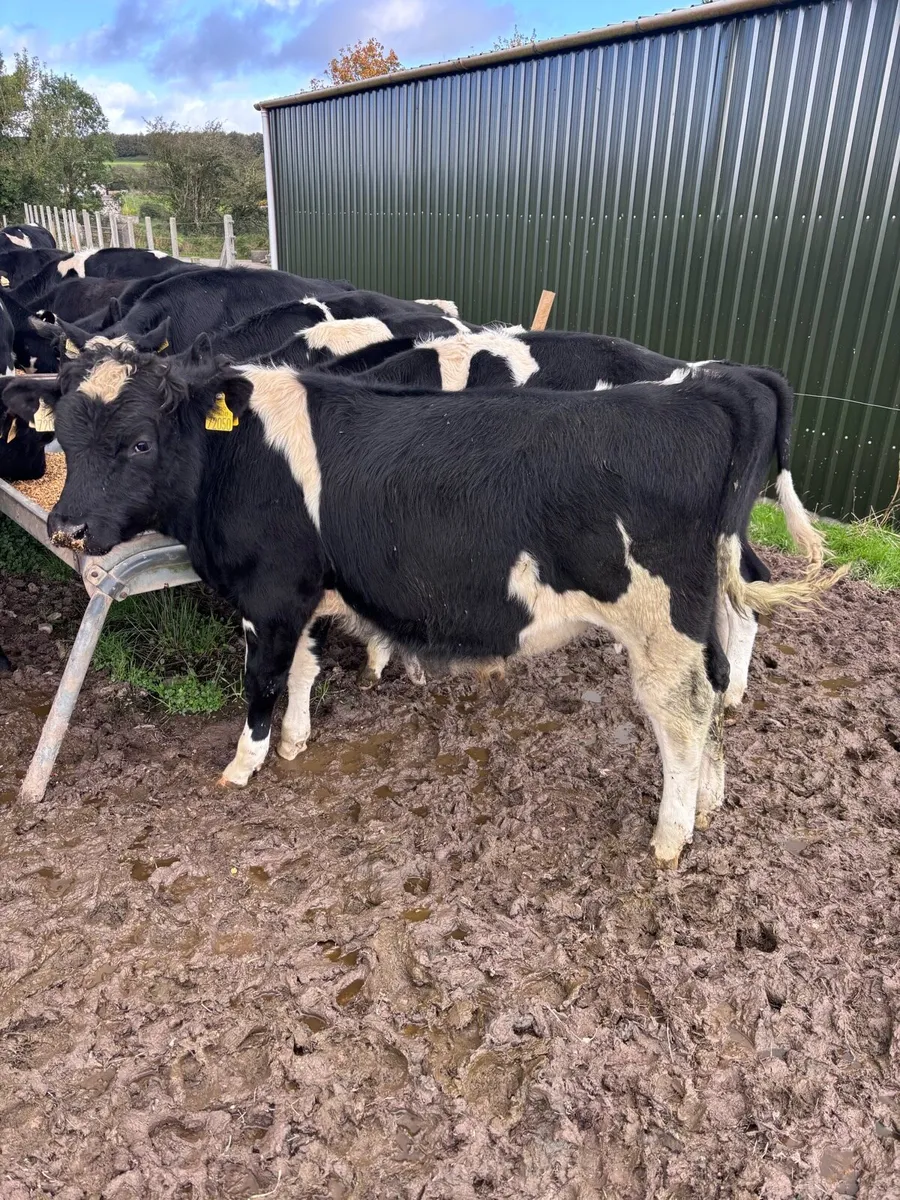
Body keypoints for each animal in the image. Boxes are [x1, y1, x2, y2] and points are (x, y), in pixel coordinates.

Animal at [6, 346, 841, 869]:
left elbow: (262, 679)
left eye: (140, 442)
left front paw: (244, 764)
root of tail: (706, 387)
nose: (67, 527)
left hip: (659, 624)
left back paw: (671, 834)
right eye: (64, 433)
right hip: (697, 613)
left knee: (686, 709)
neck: (235, 458)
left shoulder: (268, 592)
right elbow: (303, 667)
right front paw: (297, 741)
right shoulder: (302, 589)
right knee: (718, 691)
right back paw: (711, 801)